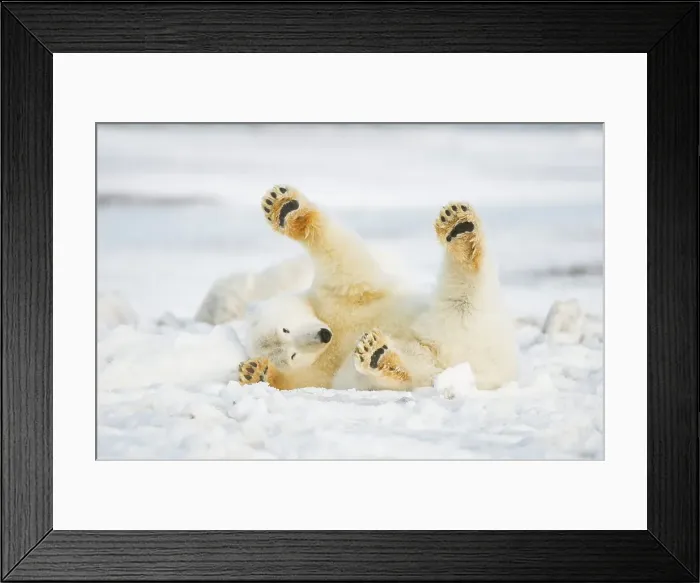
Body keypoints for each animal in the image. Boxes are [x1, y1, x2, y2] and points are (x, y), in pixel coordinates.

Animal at [236, 185, 518, 391]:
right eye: (292, 355)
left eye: (286, 328)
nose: (322, 336)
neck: (334, 333)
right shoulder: (318, 374)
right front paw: (255, 371)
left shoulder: (342, 297)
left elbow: (342, 258)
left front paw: (284, 207)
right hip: (444, 343)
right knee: (413, 368)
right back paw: (377, 354)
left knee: (464, 290)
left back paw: (460, 229)